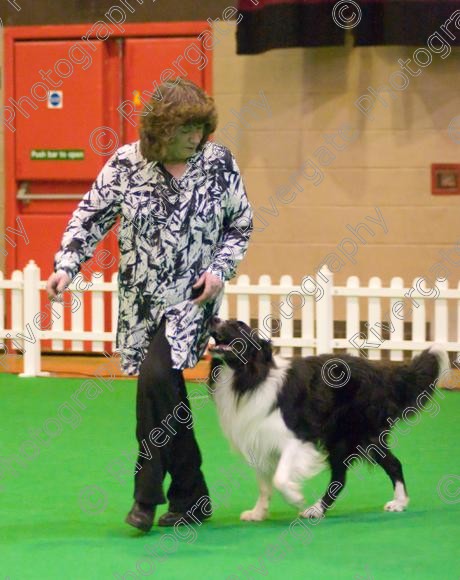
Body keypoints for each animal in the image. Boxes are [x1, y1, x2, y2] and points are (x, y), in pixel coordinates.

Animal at [208, 318, 450, 520]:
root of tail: (379, 372)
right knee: (351, 474)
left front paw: (295, 497)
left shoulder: (297, 437)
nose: (214, 318)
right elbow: (264, 485)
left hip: (355, 434)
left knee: (377, 467)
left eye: (239, 326)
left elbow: (279, 478)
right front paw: (258, 513)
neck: (250, 376)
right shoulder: (258, 440)